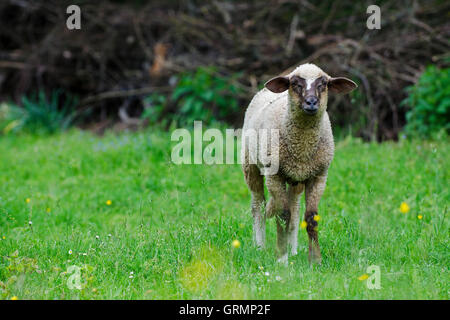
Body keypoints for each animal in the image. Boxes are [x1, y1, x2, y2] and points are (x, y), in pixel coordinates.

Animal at [241, 63, 356, 264]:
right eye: (295, 83)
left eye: (324, 84)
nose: (311, 102)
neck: (302, 147)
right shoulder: (274, 176)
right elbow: (282, 215)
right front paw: (282, 259)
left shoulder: (319, 176)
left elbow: (311, 218)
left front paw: (315, 260)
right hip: (251, 165)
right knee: (258, 206)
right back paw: (260, 246)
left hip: (296, 180)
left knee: (294, 209)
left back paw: (293, 250)